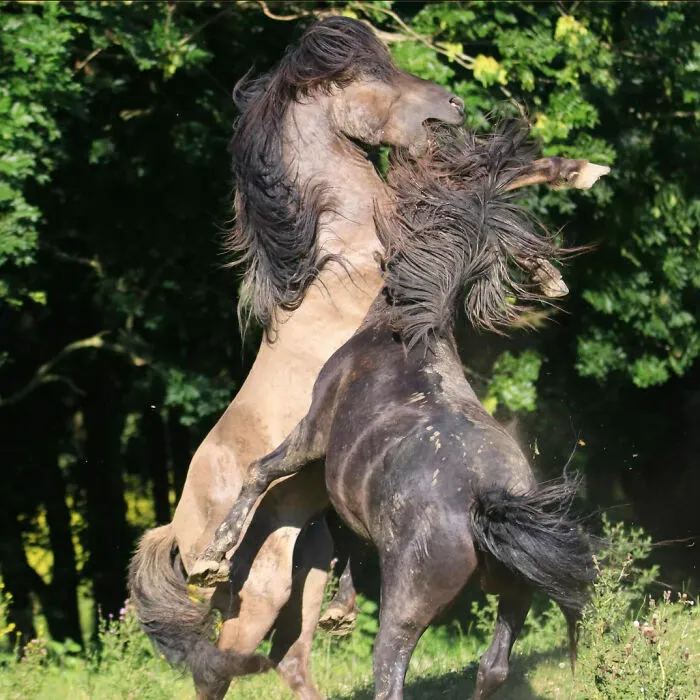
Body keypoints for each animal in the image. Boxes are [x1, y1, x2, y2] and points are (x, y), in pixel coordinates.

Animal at [192, 122, 594, 700]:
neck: (402, 332)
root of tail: (485, 505)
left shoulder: (314, 434)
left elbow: (260, 472)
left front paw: (211, 559)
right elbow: (341, 535)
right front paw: (338, 610)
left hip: (407, 609)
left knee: (389, 674)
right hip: (516, 597)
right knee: (492, 667)